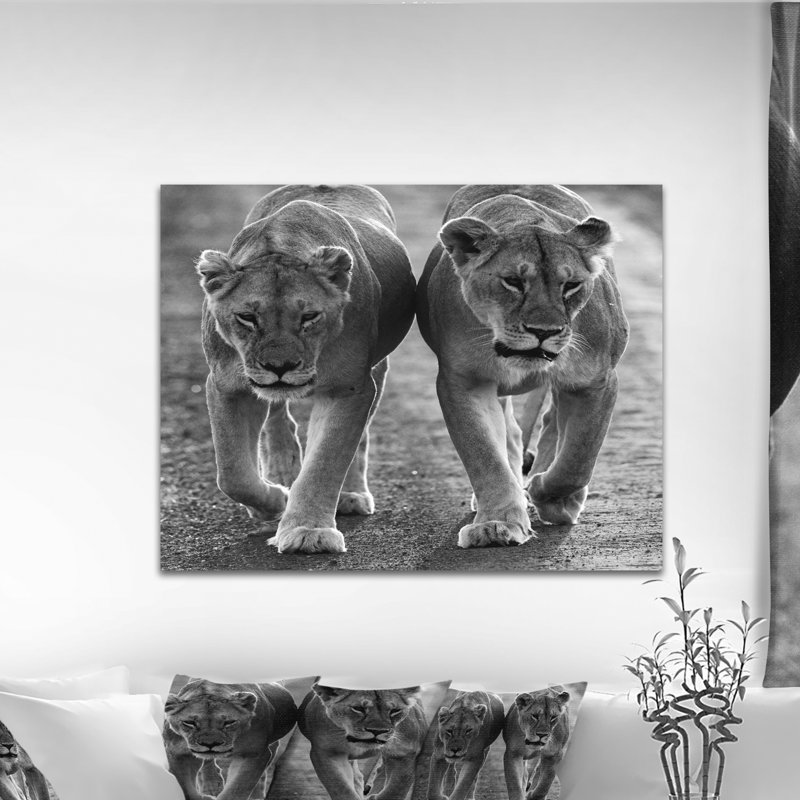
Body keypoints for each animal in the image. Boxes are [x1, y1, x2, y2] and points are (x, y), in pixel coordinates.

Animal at [163, 679, 298, 800]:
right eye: (189, 723)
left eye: (229, 722)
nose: (210, 744)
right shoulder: (177, 753)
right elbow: (184, 789)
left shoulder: (253, 754)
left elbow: (236, 789)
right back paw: (211, 786)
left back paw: (257, 795)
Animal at [197, 185, 416, 554]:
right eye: (247, 317)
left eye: (309, 317)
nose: (280, 367)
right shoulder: (226, 385)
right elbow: (232, 472)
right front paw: (275, 501)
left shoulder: (350, 387)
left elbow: (325, 461)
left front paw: (308, 531)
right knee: (276, 419)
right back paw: (283, 474)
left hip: (377, 368)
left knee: (358, 438)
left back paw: (349, 494)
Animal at [298, 684, 427, 800]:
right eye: (358, 708)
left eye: (395, 711)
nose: (377, 731)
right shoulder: (328, 753)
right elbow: (340, 787)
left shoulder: (405, 753)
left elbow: (396, 789)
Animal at [416, 185, 629, 547]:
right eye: (513, 282)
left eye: (570, 285)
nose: (544, 332)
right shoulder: (463, 380)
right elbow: (484, 454)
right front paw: (496, 523)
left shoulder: (597, 381)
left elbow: (578, 458)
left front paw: (548, 494)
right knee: (514, 434)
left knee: (553, 424)